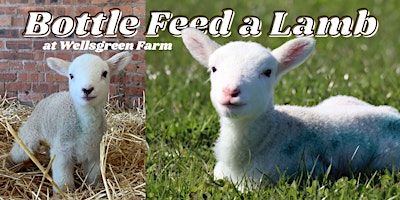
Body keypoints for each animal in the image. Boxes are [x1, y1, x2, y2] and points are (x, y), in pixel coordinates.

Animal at [9, 51, 131, 191]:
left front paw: (92, 189)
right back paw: (8, 164)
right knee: (19, 150)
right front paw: (64, 193)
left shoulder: (95, 152)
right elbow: (63, 181)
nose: (87, 89)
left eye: (105, 73)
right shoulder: (62, 151)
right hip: (31, 133)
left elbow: (93, 177)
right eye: (71, 75)